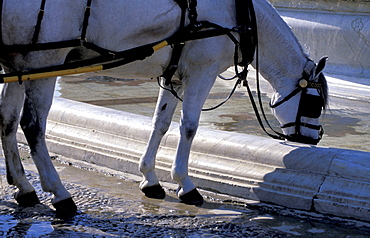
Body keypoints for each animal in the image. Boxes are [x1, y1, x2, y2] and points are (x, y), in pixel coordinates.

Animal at [0, 0, 328, 217]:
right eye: (314, 103)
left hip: (17, 66)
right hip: (43, 63)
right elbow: (189, 127)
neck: (239, 16)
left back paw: (24, 187)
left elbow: (160, 123)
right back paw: (60, 194)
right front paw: (185, 184)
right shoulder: (202, 71)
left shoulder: (174, 76)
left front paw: (150, 179)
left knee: (7, 122)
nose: (313, 138)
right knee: (32, 126)